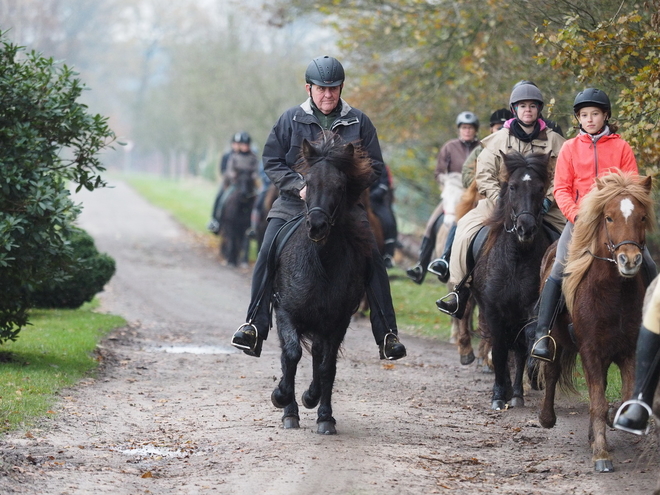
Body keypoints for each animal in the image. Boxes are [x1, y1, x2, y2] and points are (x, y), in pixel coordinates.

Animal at [268, 134, 372, 436]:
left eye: (339, 186)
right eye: (307, 183)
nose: (316, 226)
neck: (321, 263)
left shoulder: (338, 321)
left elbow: (326, 367)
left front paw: (323, 413)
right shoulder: (285, 312)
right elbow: (291, 355)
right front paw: (281, 398)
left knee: (317, 356)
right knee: (290, 356)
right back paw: (289, 410)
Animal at [472, 152, 556, 410]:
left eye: (540, 188)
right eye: (512, 186)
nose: (525, 229)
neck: (517, 258)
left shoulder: (530, 308)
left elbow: (523, 345)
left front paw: (519, 389)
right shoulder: (492, 310)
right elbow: (499, 349)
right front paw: (499, 395)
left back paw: (516, 391)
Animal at [536, 173, 656, 472]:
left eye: (642, 218)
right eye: (609, 218)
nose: (629, 260)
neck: (614, 292)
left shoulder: (627, 350)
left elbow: (618, 396)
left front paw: (611, 425)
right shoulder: (590, 348)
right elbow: (597, 402)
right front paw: (601, 455)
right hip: (556, 339)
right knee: (552, 371)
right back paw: (547, 418)